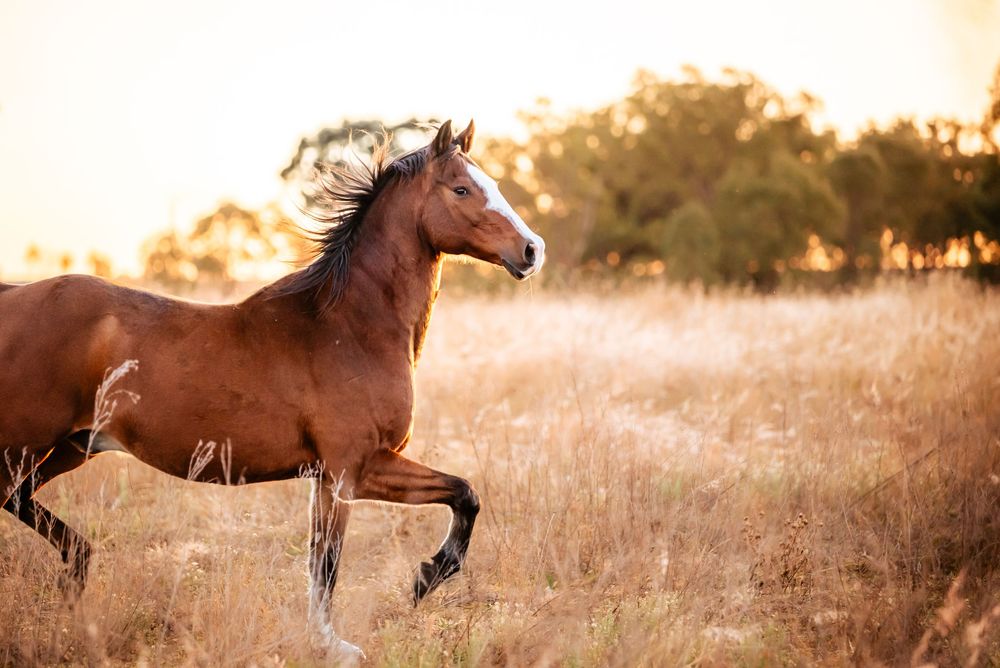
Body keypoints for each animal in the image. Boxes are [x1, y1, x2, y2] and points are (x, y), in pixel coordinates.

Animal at [0, 119, 545, 658]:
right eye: (462, 189)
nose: (532, 250)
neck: (350, 326)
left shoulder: (329, 477)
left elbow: (336, 554)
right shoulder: (354, 470)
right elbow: (391, 530)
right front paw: (406, 593)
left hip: (68, 448)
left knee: (26, 506)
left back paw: (78, 572)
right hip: (23, 447)